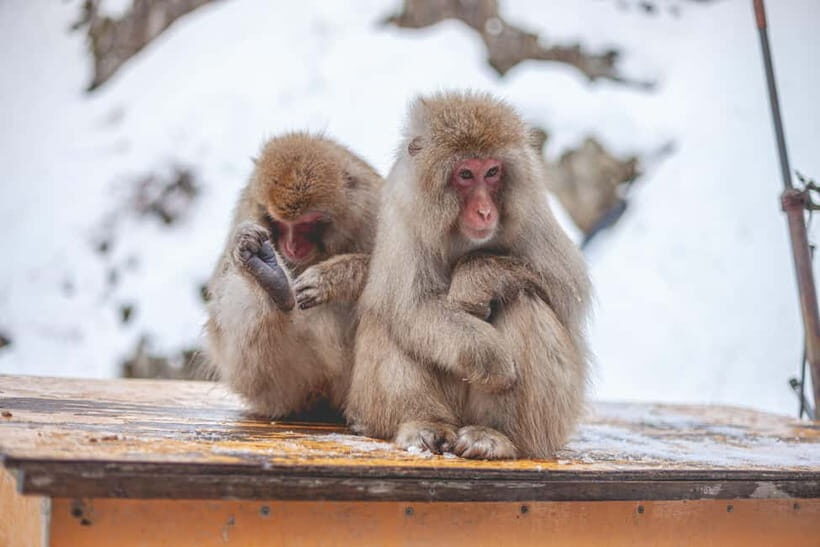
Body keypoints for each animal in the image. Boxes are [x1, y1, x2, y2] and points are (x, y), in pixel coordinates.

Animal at [204, 133, 382, 418]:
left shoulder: (373, 208)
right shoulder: (246, 208)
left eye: (308, 223)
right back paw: (271, 280)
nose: (292, 247)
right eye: (279, 223)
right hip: (271, 387)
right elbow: (220, 282)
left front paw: (330, 279)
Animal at [338, 92, 591, 459]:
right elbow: (409, 305)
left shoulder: (531, 210)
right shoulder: (404, 213)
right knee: (388, 317)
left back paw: (495, 435)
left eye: (493, 172)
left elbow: (566, 289)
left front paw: (476, 277)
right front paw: (491, 357)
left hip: (552, 421)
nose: (485, 211)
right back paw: (423, 423)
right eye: (466, 174)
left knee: (524, 300)